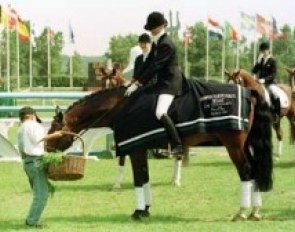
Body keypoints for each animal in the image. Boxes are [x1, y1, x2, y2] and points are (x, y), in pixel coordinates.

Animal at [45, 82, 274, 221]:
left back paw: (242, 212)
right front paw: (145, 210)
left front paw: (138, 212)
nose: (46, 148)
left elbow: (139, 179)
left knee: (246, 172)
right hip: (245, 145)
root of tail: (250, 93)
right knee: (255, 171)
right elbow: (145, 178)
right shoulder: (140, 147)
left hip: (233, 145)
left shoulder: (135, 149)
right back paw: (255, 211)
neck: (121, 107)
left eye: (55, 130)